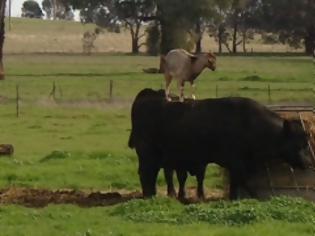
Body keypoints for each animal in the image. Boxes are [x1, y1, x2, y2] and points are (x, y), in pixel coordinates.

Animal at [128, 88, 308, 199]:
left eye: (306, 144)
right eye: (298, 144)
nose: (307, 163)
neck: (251, 123)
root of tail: (150, 94)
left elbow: (238, 183)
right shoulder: (237, 163)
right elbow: (243, 182)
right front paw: (255, 198)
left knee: (151, 174)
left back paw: (152, 194)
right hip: (148, 154)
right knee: (146, 173)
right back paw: (149, 196)